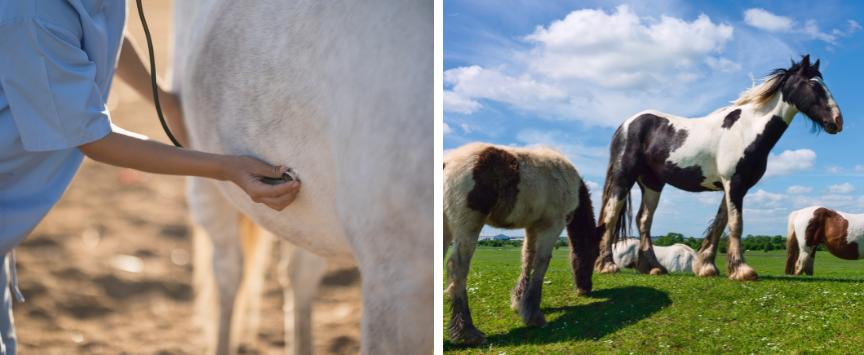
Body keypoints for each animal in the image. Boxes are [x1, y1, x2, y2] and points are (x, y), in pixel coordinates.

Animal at [442, 143, 596, 346]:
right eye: (593, 256)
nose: (586, 289)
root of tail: (447, 162)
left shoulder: (532, 226)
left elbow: (527, 258)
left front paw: (518, 302)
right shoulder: (552, 225)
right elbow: (541, 263)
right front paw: (534, 316)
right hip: (468, 226)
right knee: (458, 268)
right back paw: (467, 332)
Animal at [592, 55, 844, 280]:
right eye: (814, 85)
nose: (837, 121)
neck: (748, 129)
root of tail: (626, 124)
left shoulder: (734, 186)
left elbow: (720, 223)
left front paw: (707, 267)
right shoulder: (734, 183)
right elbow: (735, 224)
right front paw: (742, 270)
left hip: (652, 183)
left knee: (644, 220)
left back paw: (653, 267)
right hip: (624, 177)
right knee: (611, 214)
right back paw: (607, 265)